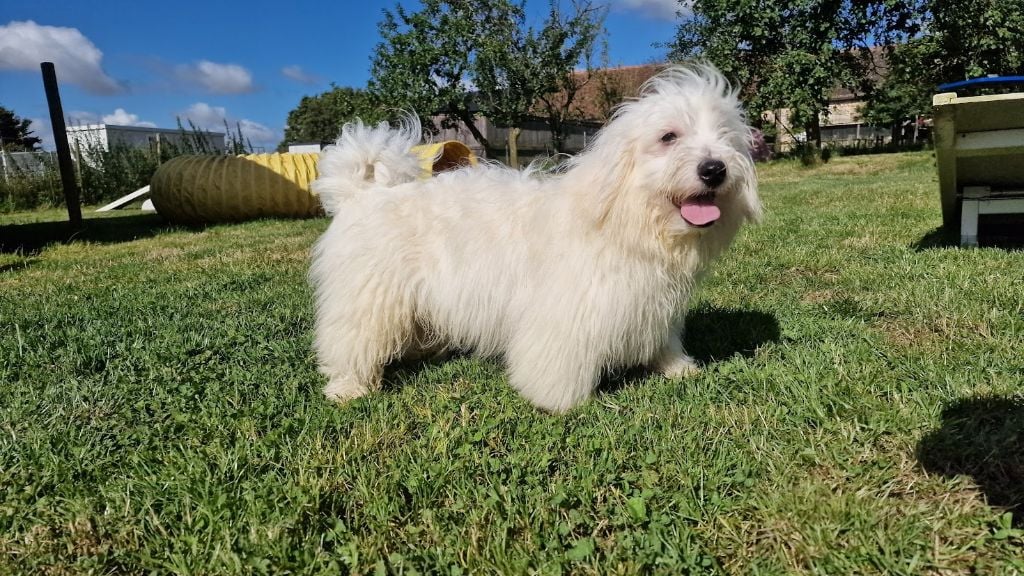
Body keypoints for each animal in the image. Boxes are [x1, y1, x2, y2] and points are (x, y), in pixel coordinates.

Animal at [309, 65, 761, 409]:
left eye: (726, 138)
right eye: (668, 137)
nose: (714, 169)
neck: (624, 220)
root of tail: (362, 193)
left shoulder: (651, 303)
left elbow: (662, 340)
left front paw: (676, 367)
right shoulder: (566, 313)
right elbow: (558, 361)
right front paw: (563, 401)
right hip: (367, 298)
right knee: (347, 340)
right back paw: (348, 387)